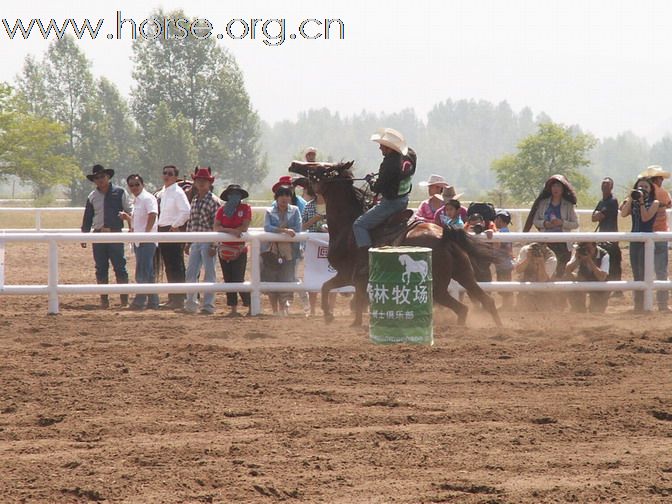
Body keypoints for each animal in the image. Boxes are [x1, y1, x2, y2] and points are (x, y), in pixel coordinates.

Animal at [288, 159, 504, 328]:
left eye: (320, 168)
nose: (294, 165)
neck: (348, 225)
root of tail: (444, 235)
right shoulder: (351, 278)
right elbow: (332, 290)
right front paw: (334, 316)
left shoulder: (349, 275)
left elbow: (339, 293)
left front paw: (336, 317)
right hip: (465, 275)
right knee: (484, 301)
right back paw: (498, 328)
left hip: (438, 287)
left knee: (463, 307)